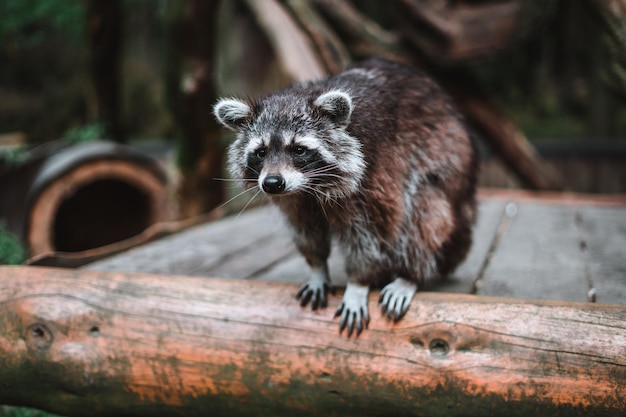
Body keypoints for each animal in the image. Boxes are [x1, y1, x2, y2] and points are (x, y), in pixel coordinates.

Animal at [212, 58, 476, 336]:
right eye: (261, 152)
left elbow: (368, 236)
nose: (272, 184)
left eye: (299, 150)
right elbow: (306, 231)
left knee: (424, 210)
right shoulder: (294, 200)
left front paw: (358, 283)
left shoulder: (370, 181)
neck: (309, 187)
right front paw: (317, 267)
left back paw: (409, 274)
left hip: (447, 161)